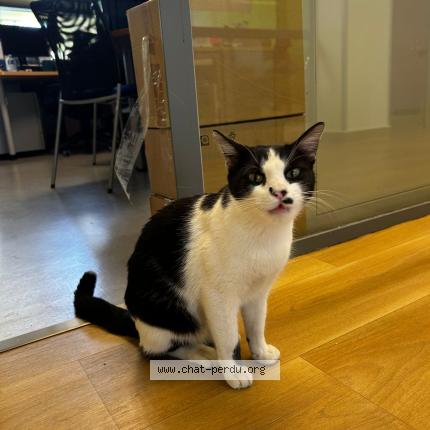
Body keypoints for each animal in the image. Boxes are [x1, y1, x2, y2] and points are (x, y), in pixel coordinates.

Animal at [74, 122, 325, 389]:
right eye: (256, 177)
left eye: (293, 173)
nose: (279, 192)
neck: (263, 235)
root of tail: (136, 321)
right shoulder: (217, 296)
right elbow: (228, 337)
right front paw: (233, 371)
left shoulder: (258, 292)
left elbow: (256, 325)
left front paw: (260, 352)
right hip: (167, 316)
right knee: (158, 349)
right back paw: (205, 354)